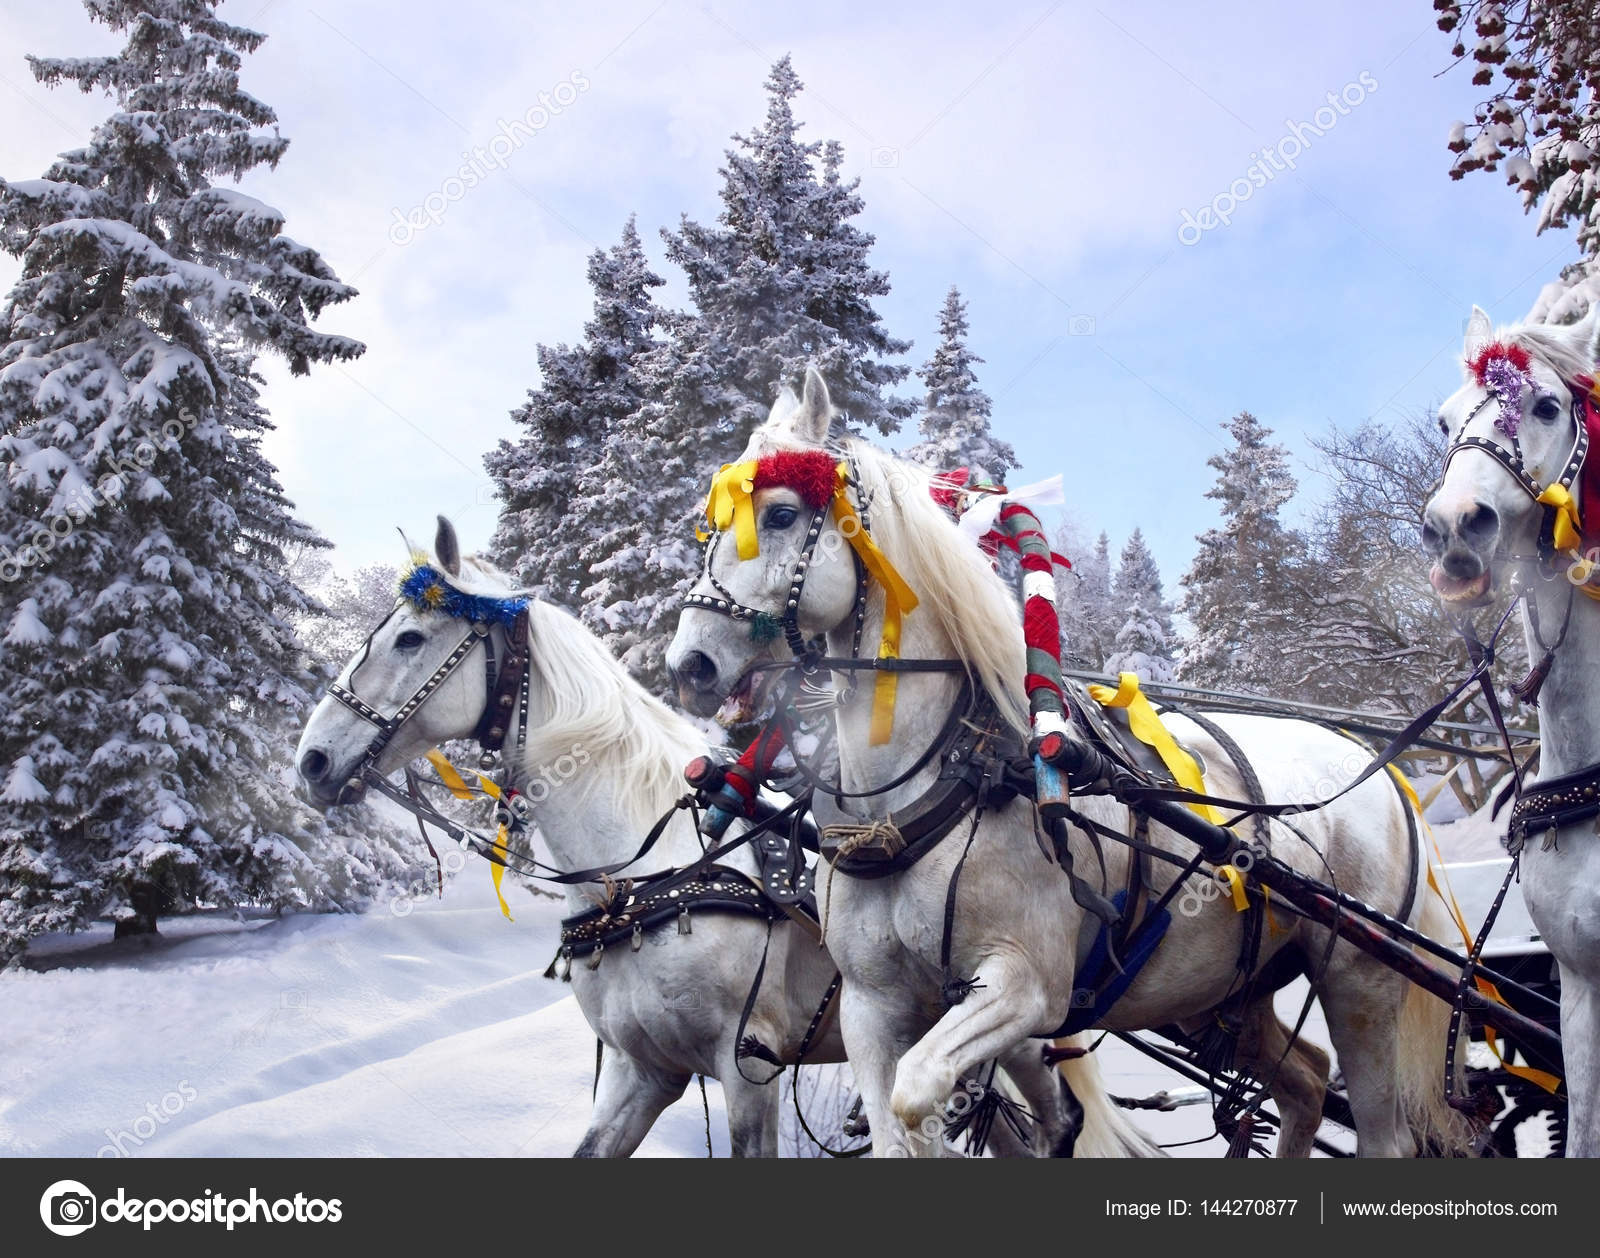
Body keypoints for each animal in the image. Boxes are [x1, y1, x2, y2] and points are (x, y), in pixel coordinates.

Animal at [297, 515, 1152, 1152]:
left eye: (410, 639)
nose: (311, 758)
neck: (643, 879)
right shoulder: (640, 1073)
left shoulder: (748, 1067)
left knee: (1056, 1120)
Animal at [668, 369, 1465, 1158]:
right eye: (711, 525)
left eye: (779, 515)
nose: (689, 665)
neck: (918, 796)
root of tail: (1373, 761)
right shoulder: (870, 1005)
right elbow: (895, 1127)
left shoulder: (1024, 986)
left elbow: (920, 1092)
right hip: (1221, 995)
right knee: (1305, 1081)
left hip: (1360, 982)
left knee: (1382, 1129)